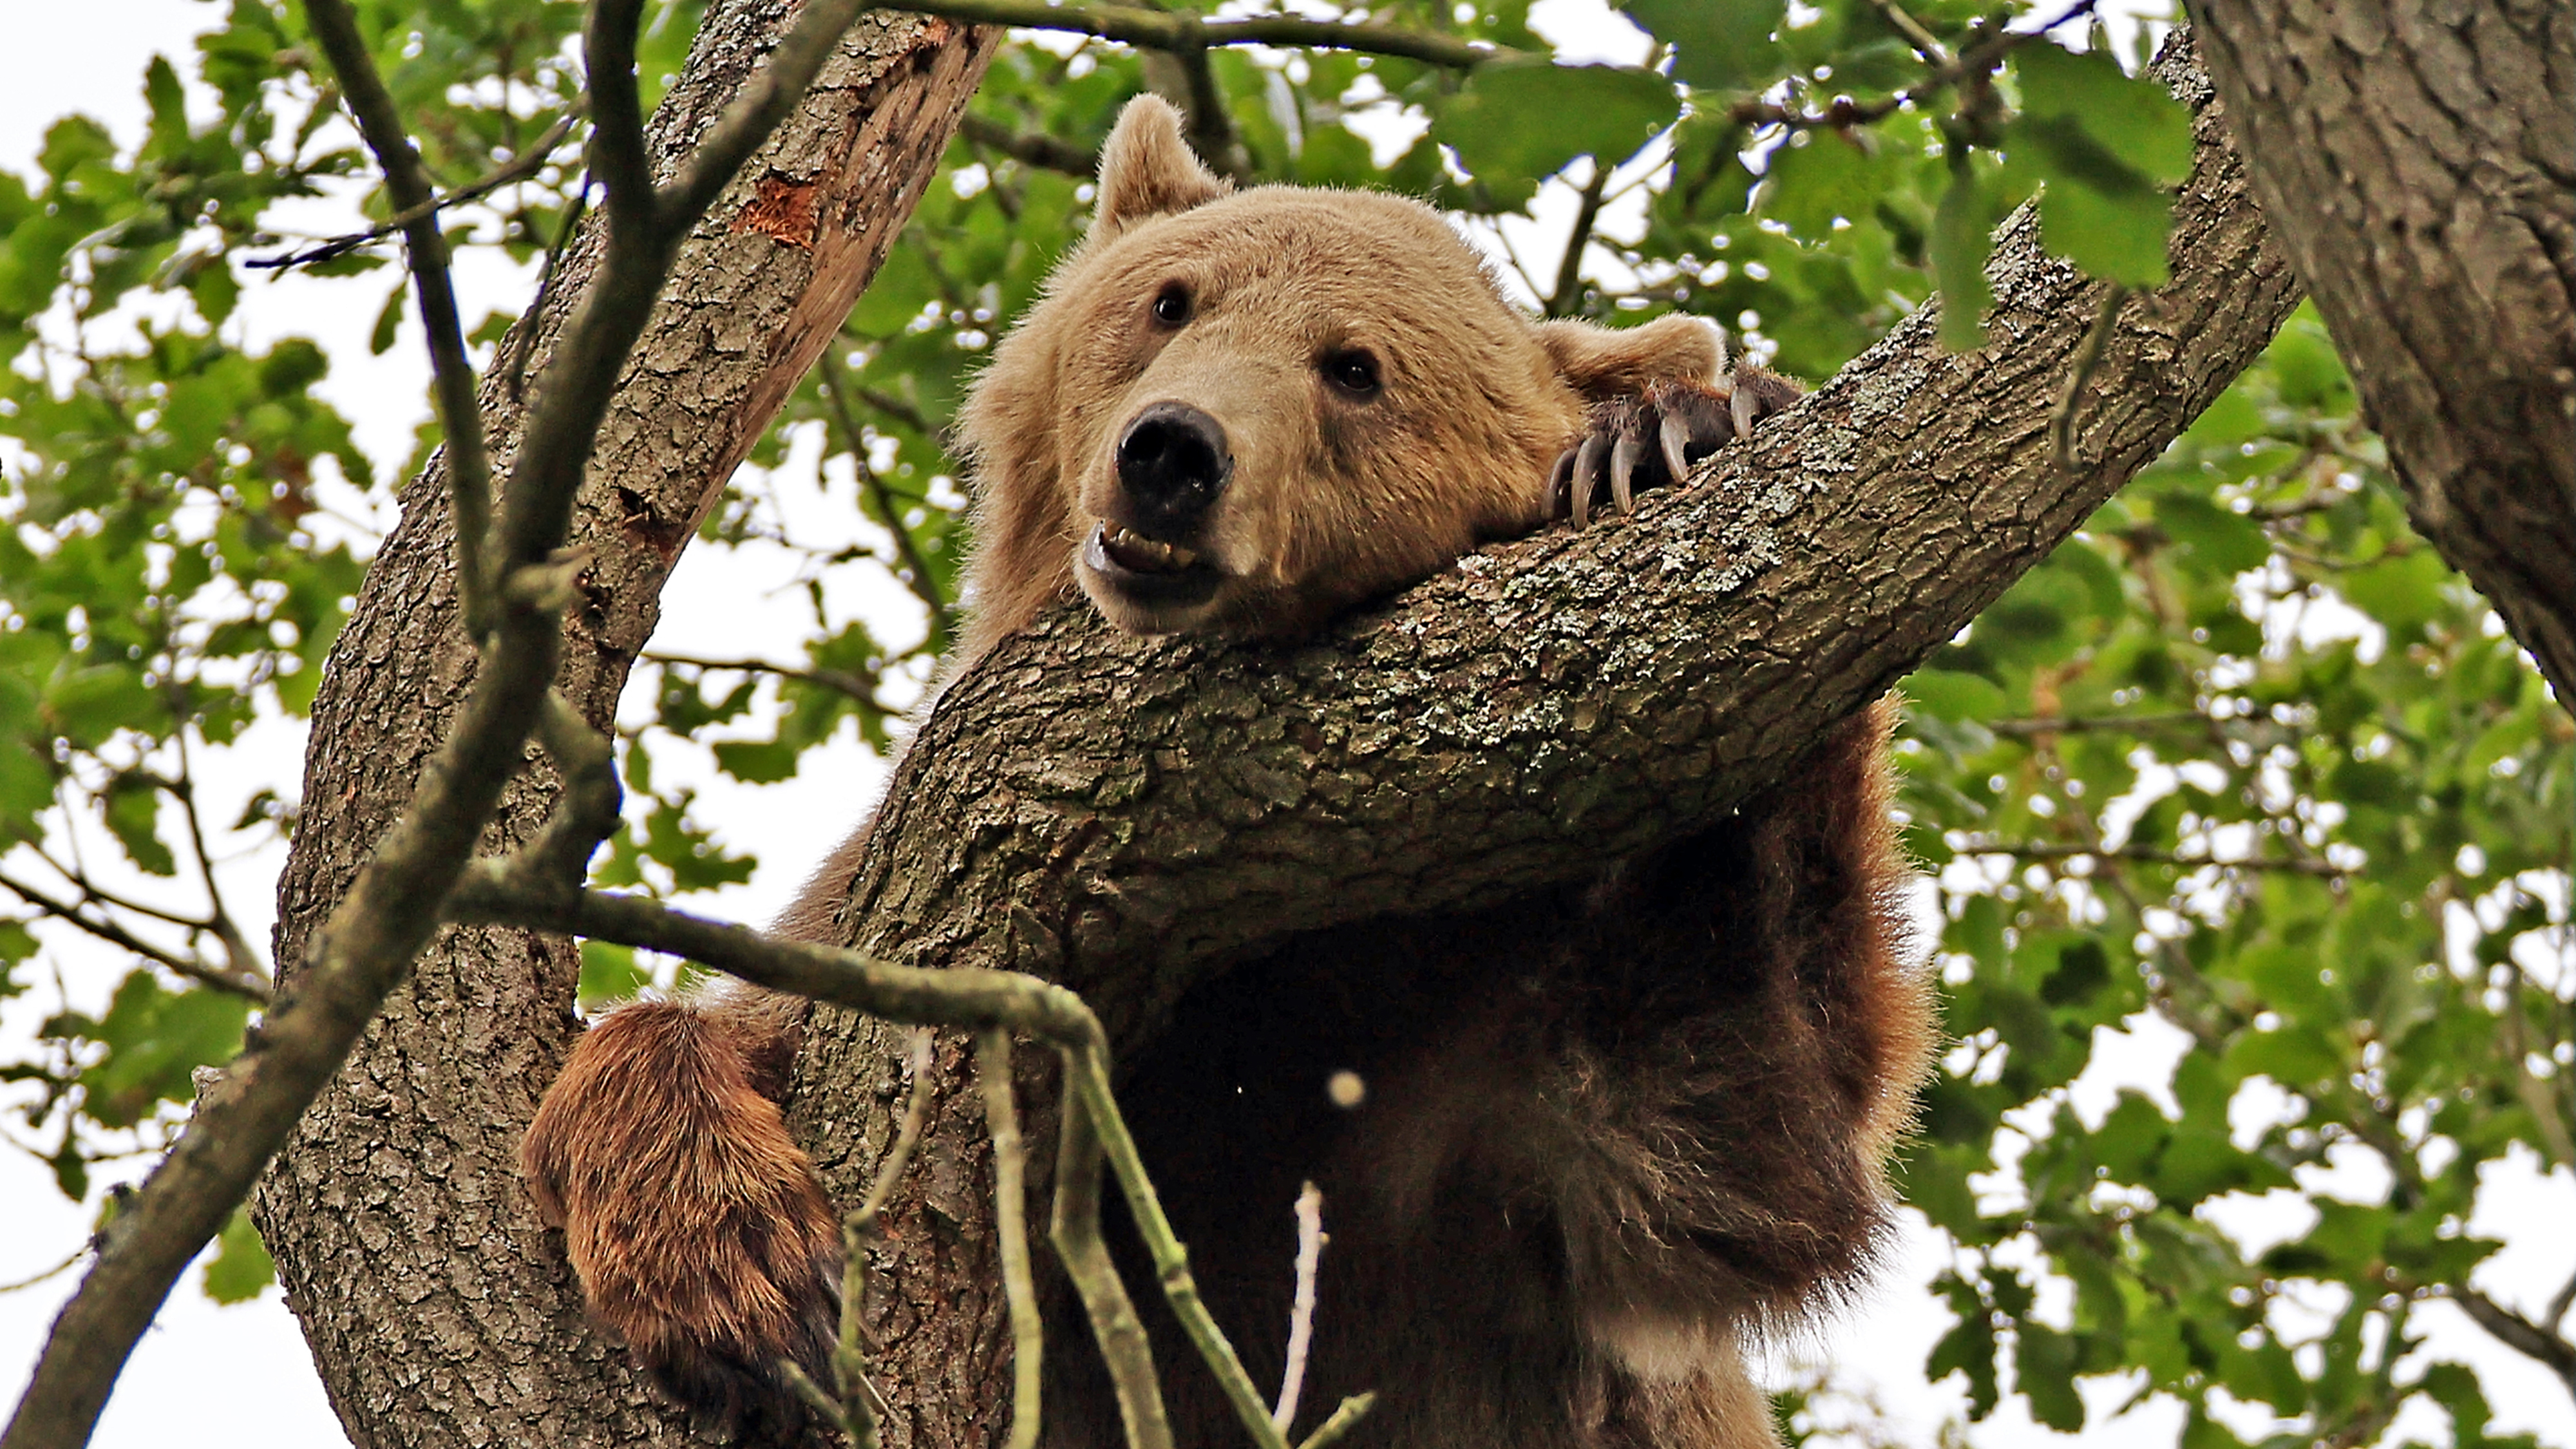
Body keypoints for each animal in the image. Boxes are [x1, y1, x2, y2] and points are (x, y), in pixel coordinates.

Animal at [521, 94, 1932, 1449]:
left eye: (1354, 368)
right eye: (1169, 299)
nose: (1171, 453)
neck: (1267, 957)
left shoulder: (1470, 1073)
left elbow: (1726, 1138)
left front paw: (1686, 426)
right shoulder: (901, 911)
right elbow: (731, 1025)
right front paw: (741, 1279)